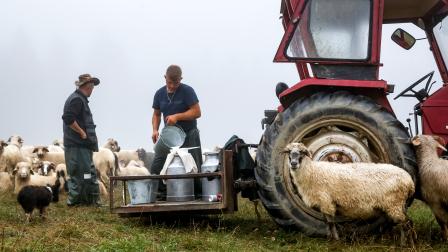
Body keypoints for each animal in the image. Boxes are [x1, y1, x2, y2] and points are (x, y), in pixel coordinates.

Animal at [286, 143, 414, 243]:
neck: (312, 172)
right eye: (289, 153)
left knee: (405, 223)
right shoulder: (323, 203)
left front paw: (335, 240)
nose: (293, 164)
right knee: (407, 222)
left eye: (302, 153)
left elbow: (331, 222)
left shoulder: (326, 201)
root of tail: (409, 181)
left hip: (394, 203)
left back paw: (404, 244)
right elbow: (327, 222)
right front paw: (329, 238)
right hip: (397, 204)